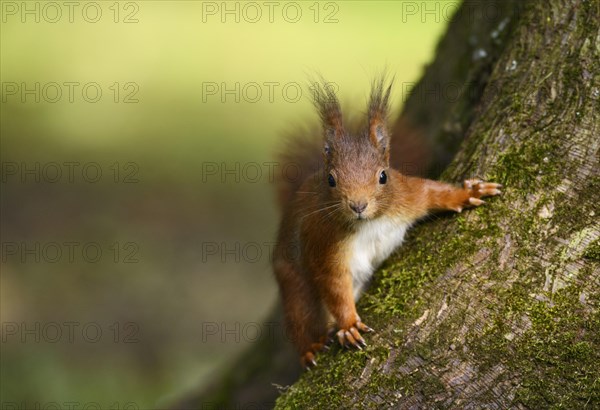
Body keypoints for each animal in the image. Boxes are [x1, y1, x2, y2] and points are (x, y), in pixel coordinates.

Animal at [274, 78, 502, 366]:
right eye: (331, 180)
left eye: (383, 176)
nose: (358, 206)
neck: (371, 222)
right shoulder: (323, 240)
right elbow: (333, 283)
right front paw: (348, 325)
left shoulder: (407, 194)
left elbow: (433, 192)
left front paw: (468, 192)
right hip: (294, 286)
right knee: (300, 317)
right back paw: (310, 348)